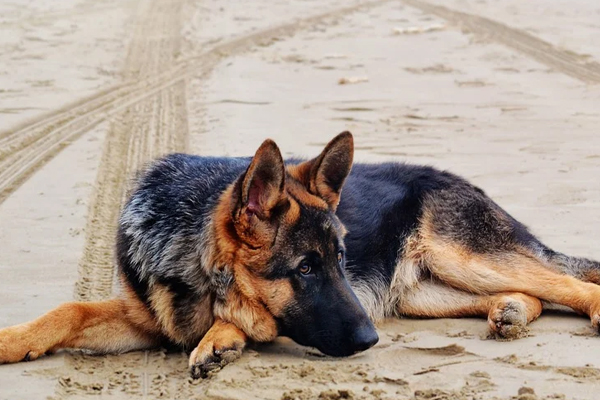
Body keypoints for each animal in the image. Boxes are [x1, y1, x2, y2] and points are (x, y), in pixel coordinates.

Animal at [1, 132, 600, 378]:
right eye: (306, 268)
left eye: (340, 259)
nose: (371, 342)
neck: (189, 253)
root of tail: (461, 181)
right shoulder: (143, 317)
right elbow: (70, 310)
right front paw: (14, 340)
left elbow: (246, 317)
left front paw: (223, 337)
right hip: (424, 295)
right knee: (533, 294)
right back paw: (511, 311)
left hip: (465, 258)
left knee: (571, 285)